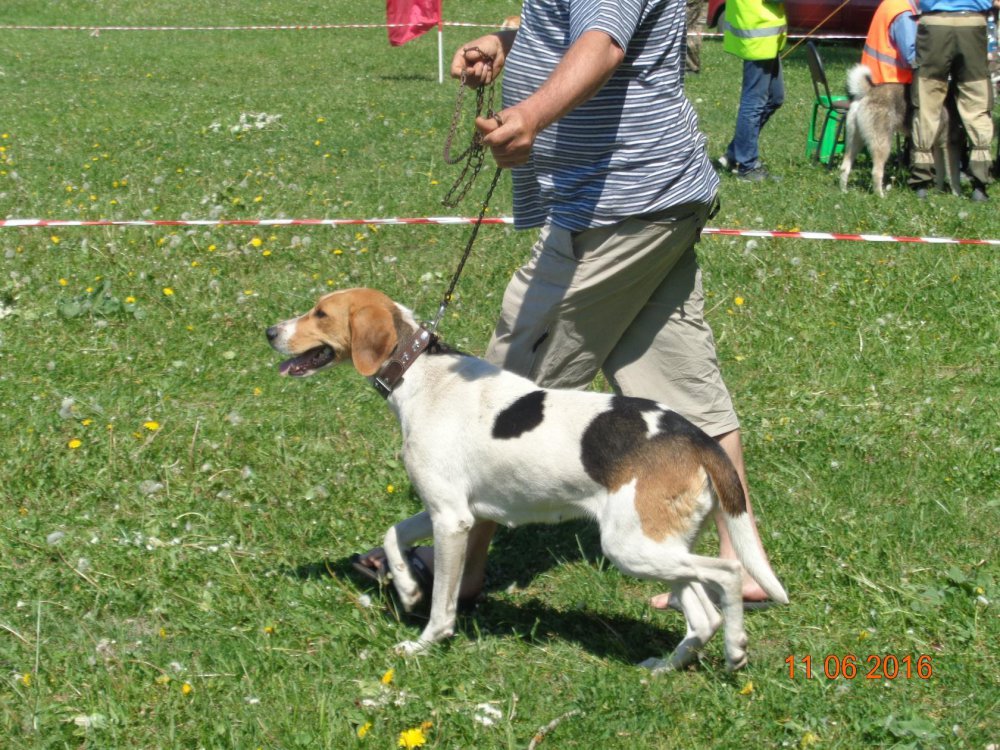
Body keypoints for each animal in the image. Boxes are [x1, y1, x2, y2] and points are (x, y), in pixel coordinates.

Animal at [267, 288, 788, 672]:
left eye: (320, 313)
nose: (270, 331)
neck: (419, 371)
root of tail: (693, 434)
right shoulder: (449, 507)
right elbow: (394, 534)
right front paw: (408, 587)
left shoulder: (452, 520)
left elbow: (443, 605)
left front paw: (425, 642)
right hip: (659, 546)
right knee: (702, 616)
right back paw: (665, 667)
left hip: (631, 546)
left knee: (728, 574)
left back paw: (736, 649)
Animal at [839, 64, 961, 197]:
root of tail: (869, 91)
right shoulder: (951, 145)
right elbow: (953, 174)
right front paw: (957, 194)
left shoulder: (939, 145)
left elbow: (941, 172)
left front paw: (937, 192)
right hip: (882, 144)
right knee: (876, 172)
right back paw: (880, 196)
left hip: (855, 141)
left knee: (845, 167)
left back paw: (844, 191)